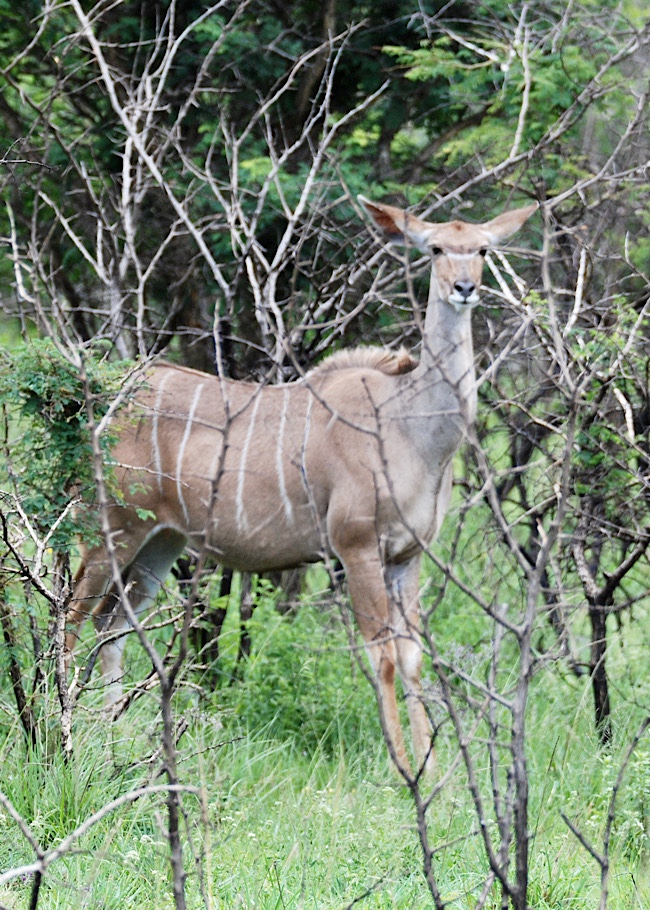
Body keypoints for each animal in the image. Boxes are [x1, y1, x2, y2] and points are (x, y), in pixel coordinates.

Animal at [68, 195, 538, 775]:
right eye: (433, 249)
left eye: (483, 249)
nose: (465, 286)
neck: (409, 424)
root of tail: (100, 407)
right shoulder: (356, 546)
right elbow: (381, 655)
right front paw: (403, 768)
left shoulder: (406, 556)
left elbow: (412, 656)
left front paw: (431, 767)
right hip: (110, 531)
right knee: (72, 618)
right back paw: (58, 726)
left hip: (161, 542)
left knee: (110, 626)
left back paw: (113, 738)